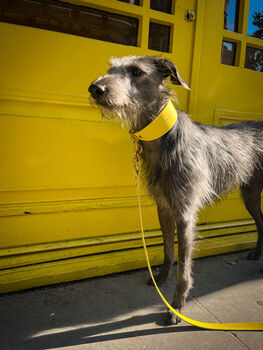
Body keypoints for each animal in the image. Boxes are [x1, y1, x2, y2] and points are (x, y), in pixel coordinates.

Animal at [88, 55, 263, 326]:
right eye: (111, 68)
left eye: (136, 71)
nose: (95, 88)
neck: (163, 139)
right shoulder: (164, 207)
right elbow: (168, 250)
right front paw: (161, 278)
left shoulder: (185, 214)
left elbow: (184, 268)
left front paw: (177, 306)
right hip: (251, 194)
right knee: (262, 222)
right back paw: (257, 253)